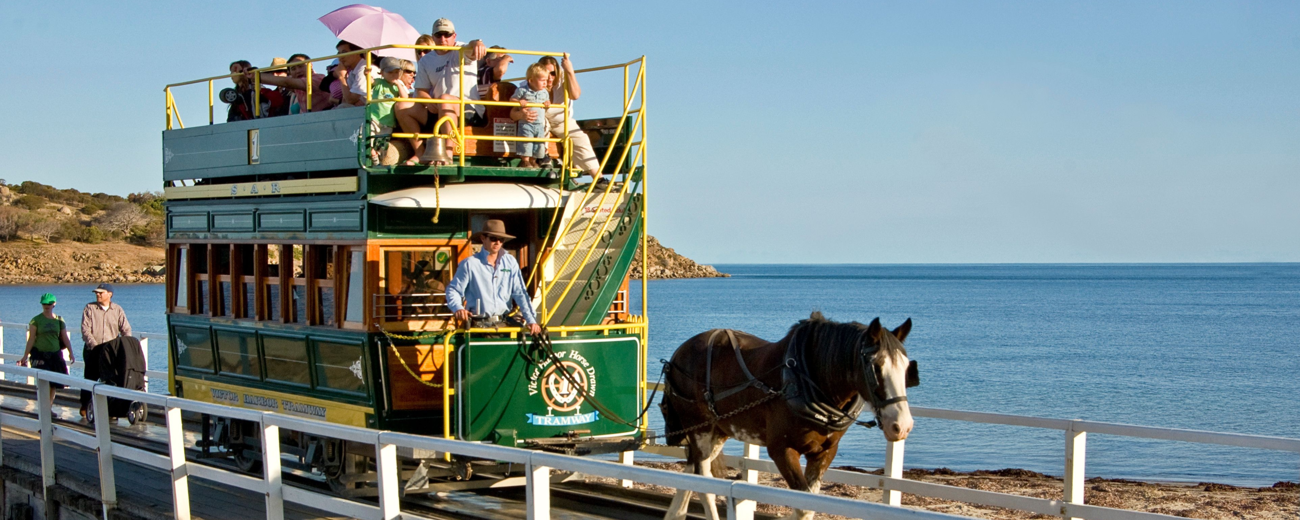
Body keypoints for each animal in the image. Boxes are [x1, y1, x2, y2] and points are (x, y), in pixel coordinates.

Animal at [660, 313, 915, 520]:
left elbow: (808, 505)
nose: (902, 425)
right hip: (698, 428)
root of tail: (678, 353)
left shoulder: (824, 452)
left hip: (718, 431)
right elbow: (802, 506)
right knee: (703, 483)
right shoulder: (782, 450)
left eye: (906, 367)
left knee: (690, 474)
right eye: (876, 367)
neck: (805, 379)